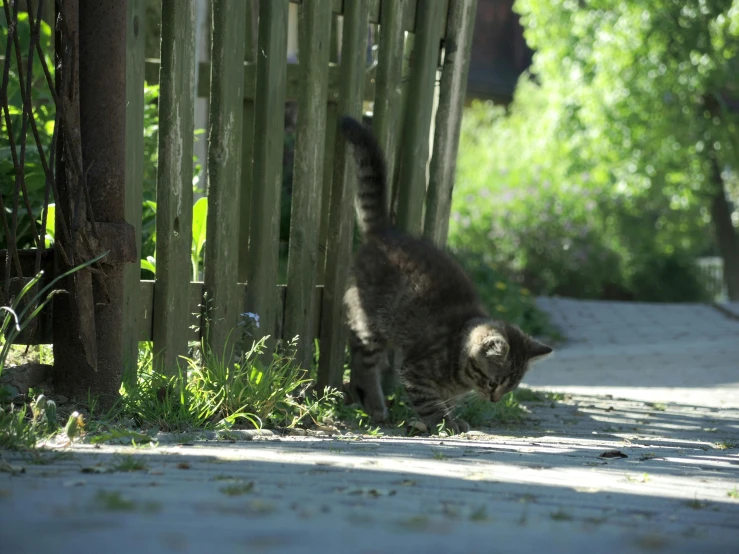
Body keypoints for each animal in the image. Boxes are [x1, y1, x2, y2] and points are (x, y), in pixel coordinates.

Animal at [340, 116, 548, 434]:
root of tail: (384, 232)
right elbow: (429, 401)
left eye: (510, 388)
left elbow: (445, 399)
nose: (495, 400)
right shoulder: (416, 370)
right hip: (369, 322)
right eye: (494, 382)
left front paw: (454, 416)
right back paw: (375, 405)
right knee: (363, 362)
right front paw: (443, 423)